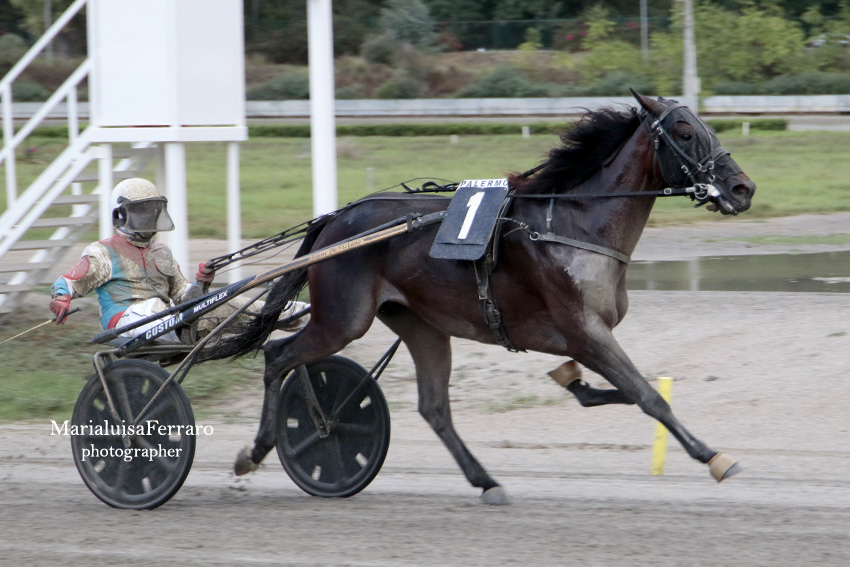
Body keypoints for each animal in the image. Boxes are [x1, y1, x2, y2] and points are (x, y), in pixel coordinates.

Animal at [212, 93, 756, 506]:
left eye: (704, 125)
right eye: (684, 131)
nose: (742, 187)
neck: (575, 227)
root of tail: (335, 219)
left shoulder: (582, 339)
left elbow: (625, 390)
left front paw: (576, 385)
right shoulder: (586, 332)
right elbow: (648, 397)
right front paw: (714, 457)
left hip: (420, 325)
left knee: (434, 407)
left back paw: (485, 480)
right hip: (343, 319)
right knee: (278, 355)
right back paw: (261, 449)